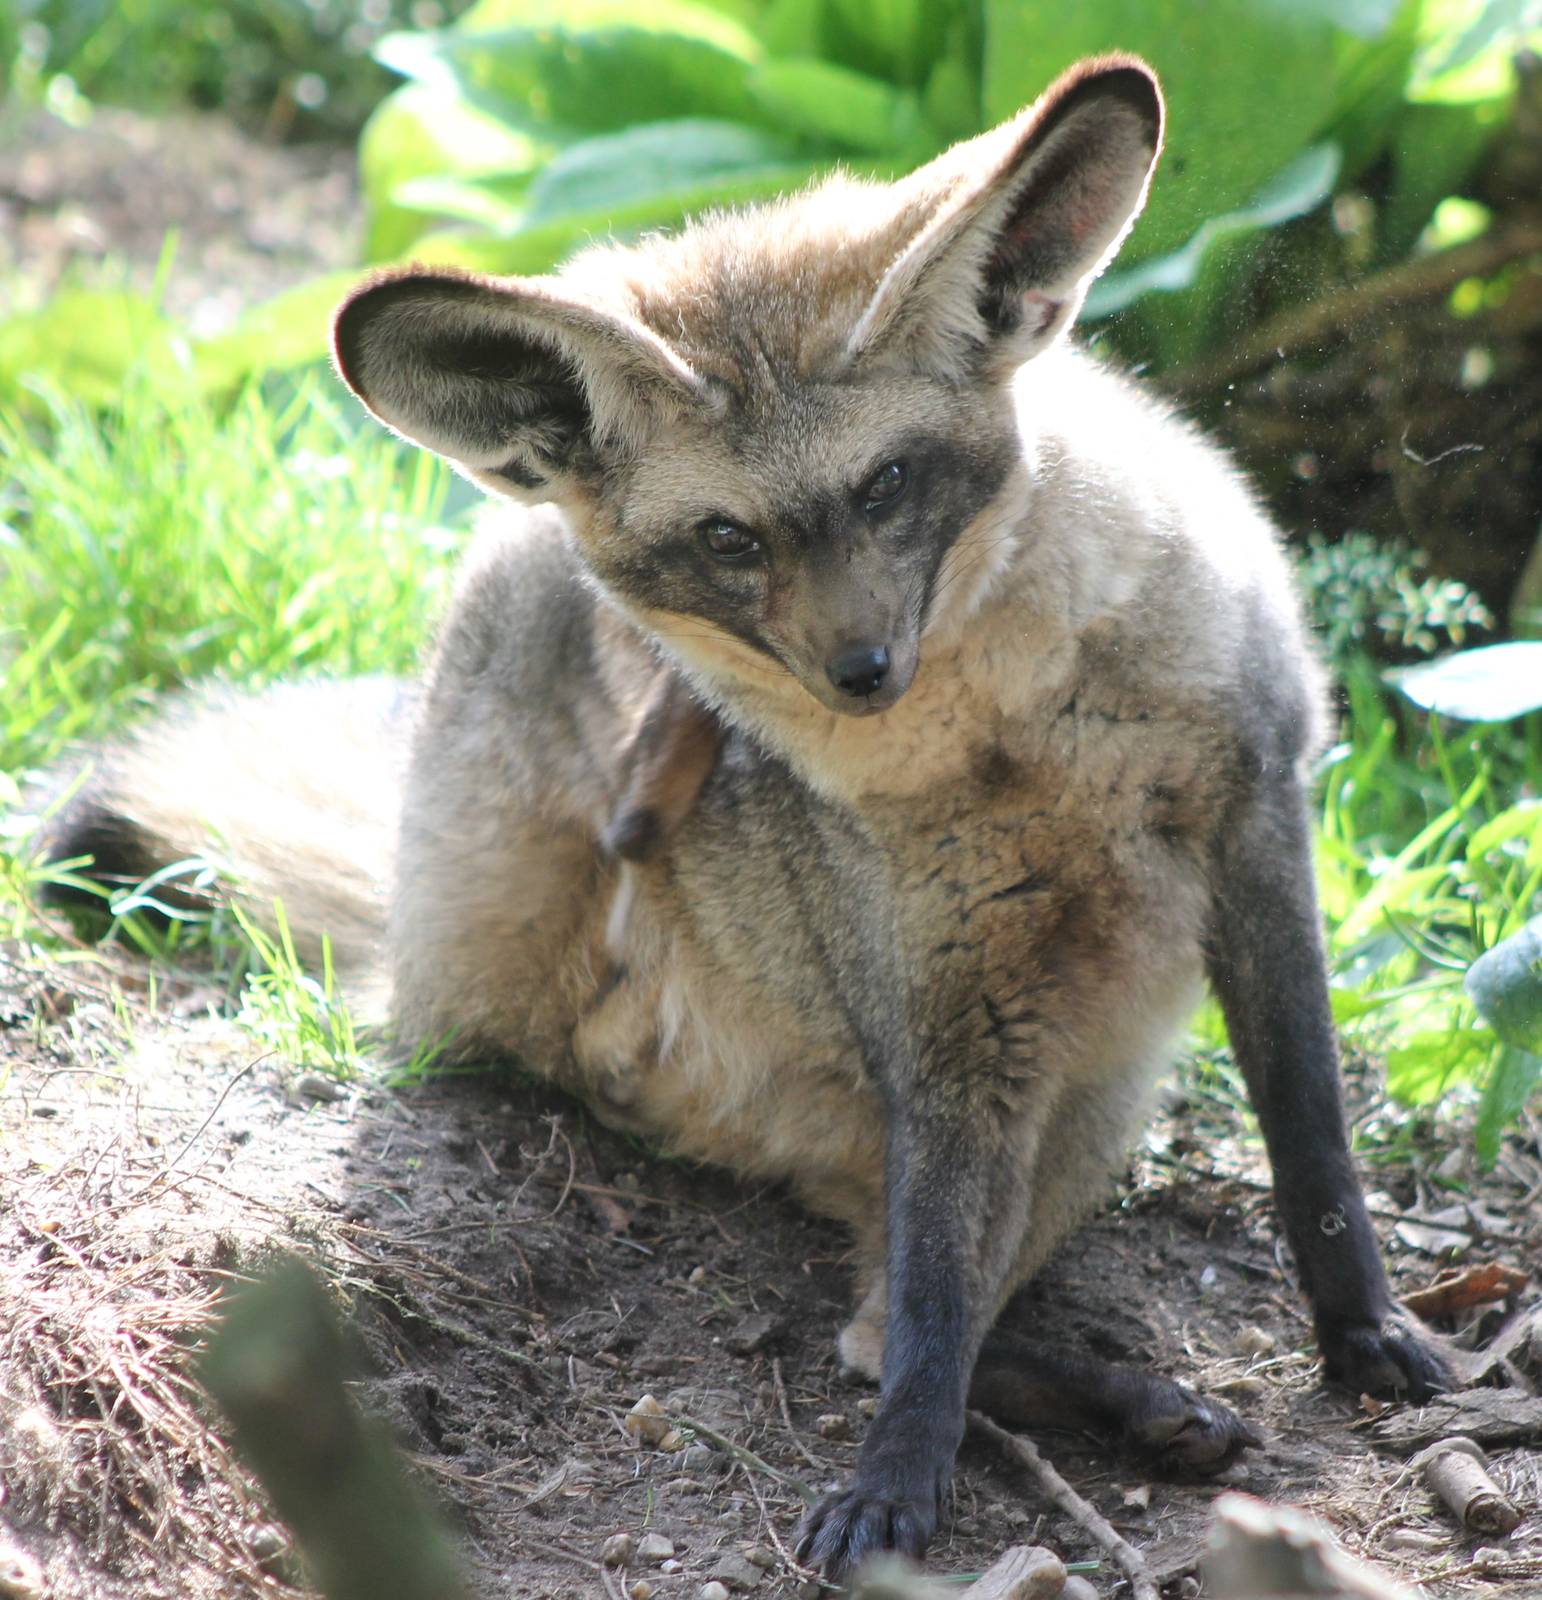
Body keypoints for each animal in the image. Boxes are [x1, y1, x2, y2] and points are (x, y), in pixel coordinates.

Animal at [46, 55, 1451, 1581]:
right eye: (729, 539)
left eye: (886, 484)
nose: (862, 675)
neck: (1025, 739)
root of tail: (433, 962)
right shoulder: (939, 1006)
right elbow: (930, 1330)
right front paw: (897, 1476)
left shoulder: (1257, 816)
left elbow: (1312, 1137)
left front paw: (1364, 1328)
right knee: (875, 1328)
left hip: (1091, 1100)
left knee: (884, 1308)